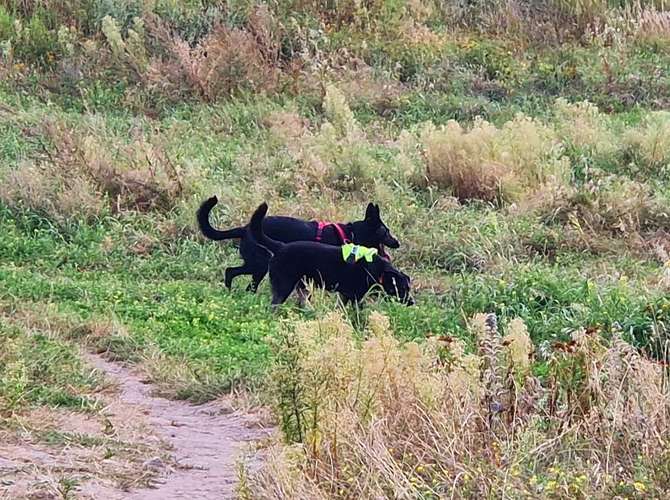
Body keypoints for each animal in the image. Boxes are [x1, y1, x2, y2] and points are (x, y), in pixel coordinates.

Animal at [197, 194, 402, 292]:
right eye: (386, 231)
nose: (398, 243)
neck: (350, 233)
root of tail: (244, 228)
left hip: (257, 265)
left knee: (235, 275)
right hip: (260, 263)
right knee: (234, 274)